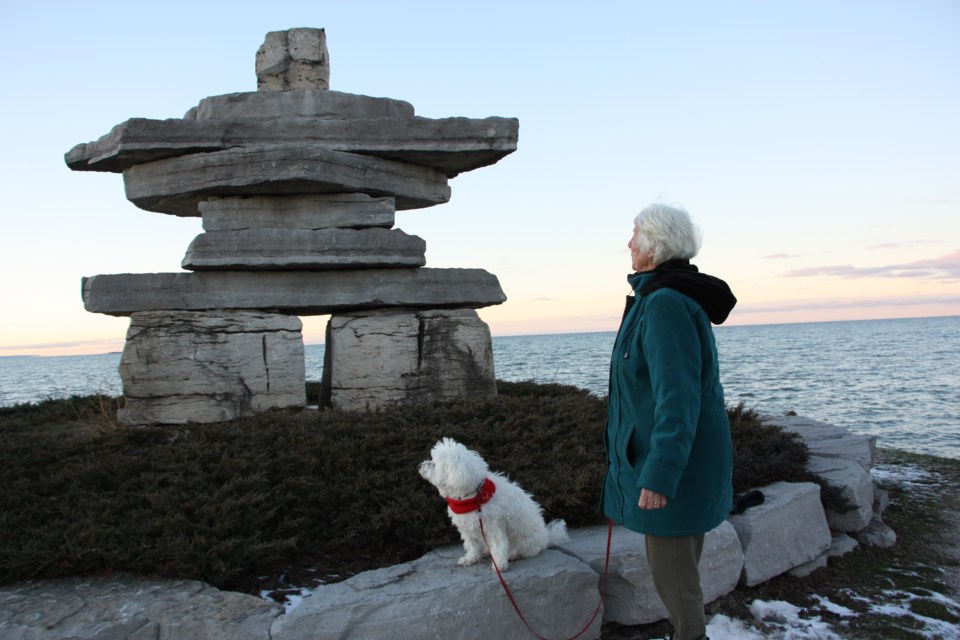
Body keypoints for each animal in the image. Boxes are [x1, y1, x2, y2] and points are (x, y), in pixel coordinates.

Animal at [416, 440, 568, 568]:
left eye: (434, 463)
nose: (419, 465)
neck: (473, 497)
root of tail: (547, 537)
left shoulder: (493, 527)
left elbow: (499, 545)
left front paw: (499, 565)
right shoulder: (468, 529)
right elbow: (472, 546)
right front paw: (470, 559)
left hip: (526, 542)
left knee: (525, 550)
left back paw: (513, 555)